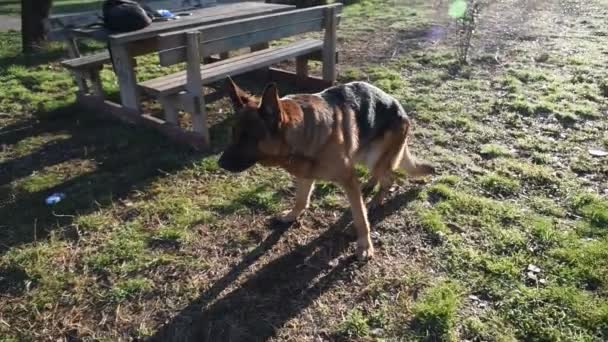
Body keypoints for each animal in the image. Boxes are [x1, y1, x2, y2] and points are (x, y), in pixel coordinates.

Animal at [218, 77, 432, 260]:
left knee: (390, 178)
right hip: (365, 155)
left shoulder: (347, 179)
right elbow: (301, 200)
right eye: (233, 133)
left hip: (374, 157)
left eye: (248, 138)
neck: (302, 132)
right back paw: (370, 186)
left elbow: (360, 218)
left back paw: (376, 200)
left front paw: (364, 245)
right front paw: (291, 216)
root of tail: (400, 107)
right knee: (382, 176)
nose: (220, 163)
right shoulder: (305, 175)